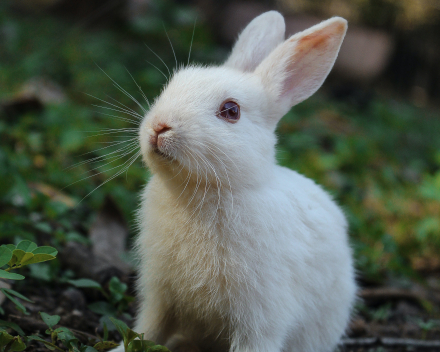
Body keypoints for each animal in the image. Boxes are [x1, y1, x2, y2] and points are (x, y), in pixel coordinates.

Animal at [120, 10, 358, 352]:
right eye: (172, 85)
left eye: (231, 111)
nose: (159, 127)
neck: (205, 190)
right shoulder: (160, 295)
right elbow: (147, 330)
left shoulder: (261, 319)